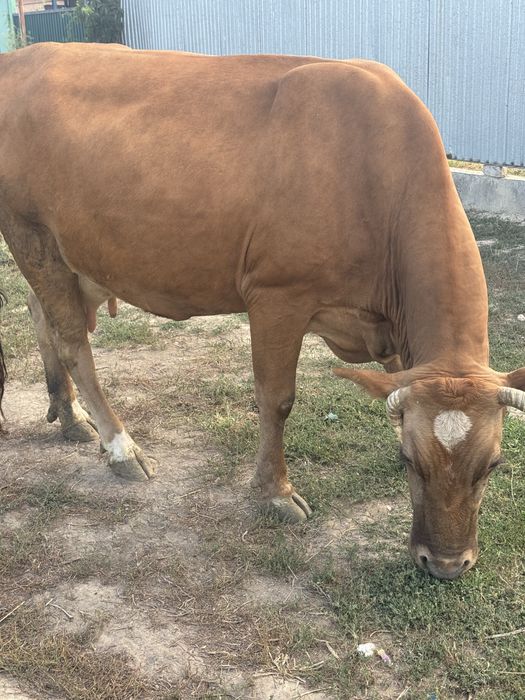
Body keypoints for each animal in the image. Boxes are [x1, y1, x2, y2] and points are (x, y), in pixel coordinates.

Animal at [0, 43, 523, 580]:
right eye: (410, 462)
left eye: (494, 465)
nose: (446, 564)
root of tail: (21, 58)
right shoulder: (278, 296)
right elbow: (277, 400)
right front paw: (275, 493)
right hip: (30, 233)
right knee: (71, 341)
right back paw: (122, 447)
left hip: (75, 258)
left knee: (40, 313)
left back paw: (68, 415)